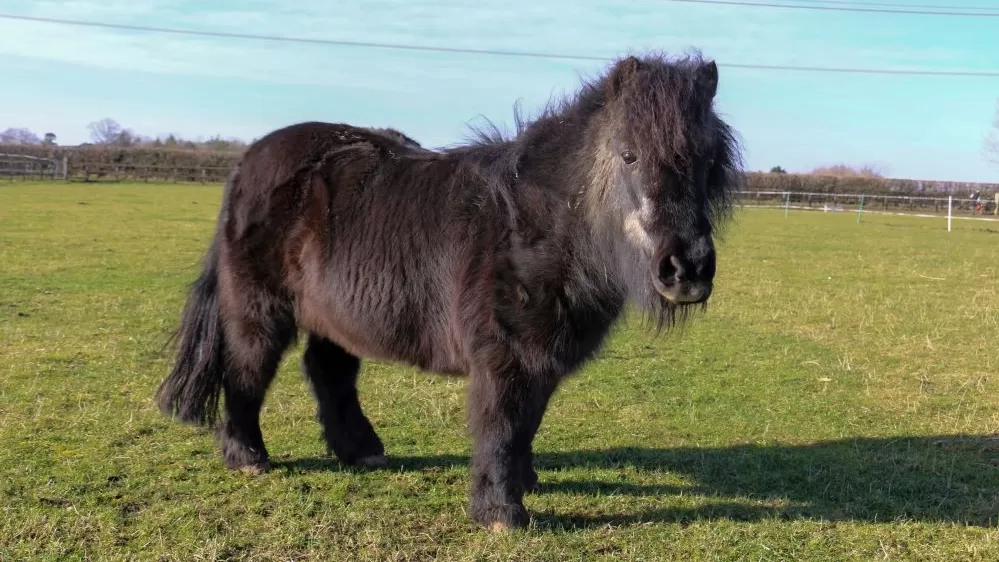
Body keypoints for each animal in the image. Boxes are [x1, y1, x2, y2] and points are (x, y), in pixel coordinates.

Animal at [155, 51, 744, 530]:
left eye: (708, 159)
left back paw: (361, 450)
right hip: (259, 308)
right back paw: (247, 456)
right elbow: (501, 422)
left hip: (336, 313)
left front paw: (524, 483)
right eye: (628, 155)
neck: (537, 225)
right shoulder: (503, 355)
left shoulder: (543, 355)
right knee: (247, 367)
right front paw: (501, 513)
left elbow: (528, 421)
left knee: (329, 372)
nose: (686, 270)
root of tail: (249, 160)